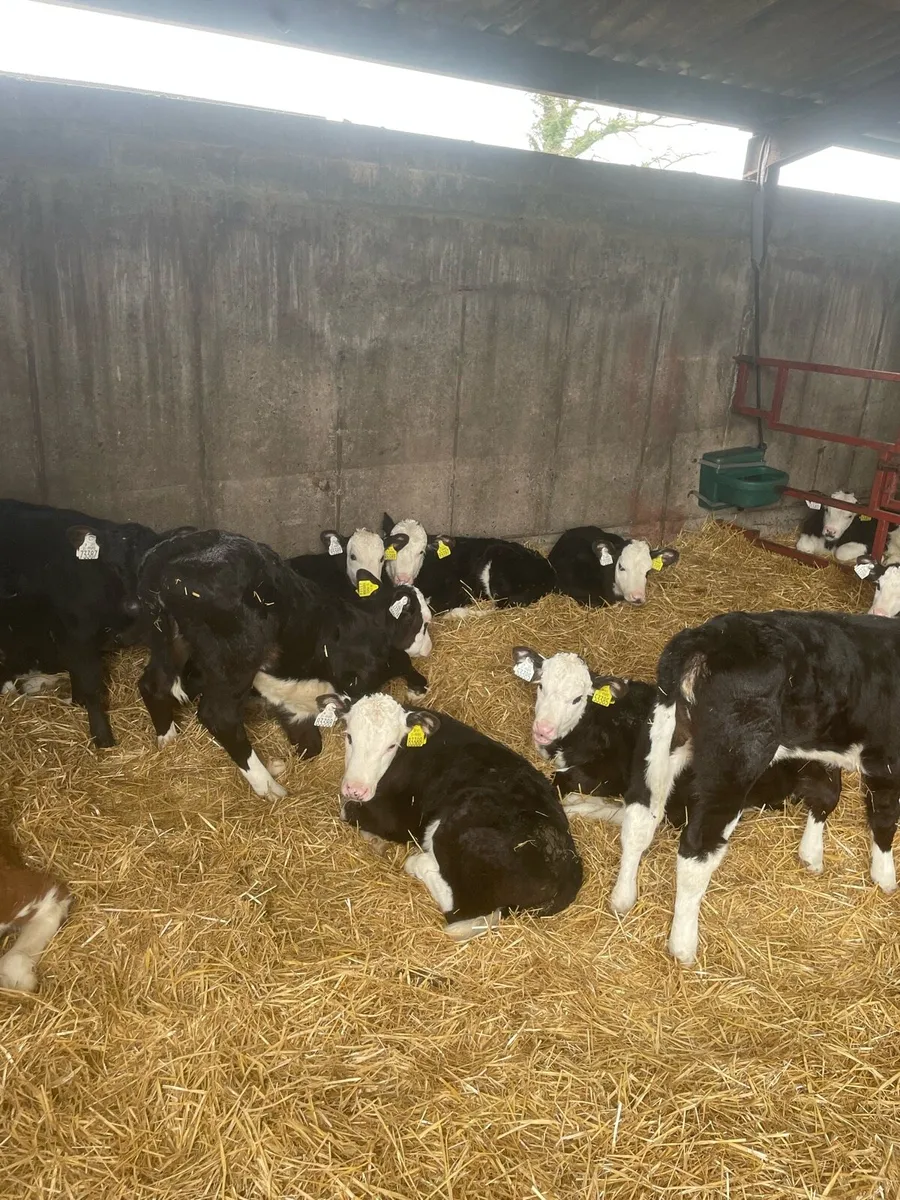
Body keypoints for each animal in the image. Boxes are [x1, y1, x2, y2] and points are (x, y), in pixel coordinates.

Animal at [0, 498, 189, 746]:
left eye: (145, 565)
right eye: (112, 565)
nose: (133, 605)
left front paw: (77, 701)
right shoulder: (77, 634)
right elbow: (91, 685)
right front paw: (102, 738)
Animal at [136, 529, 431, 798]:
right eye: (423, 622)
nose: (428, 647)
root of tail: (165, 559)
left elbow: (309, 745)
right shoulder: (360, 682)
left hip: (166, 640)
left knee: (153, 684)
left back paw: (168, 739)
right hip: (236, 660)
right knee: (219, 716)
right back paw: (268, 786)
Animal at [322, 691, 583, 940]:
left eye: (391, 746)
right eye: (349, 736)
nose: (355, 788)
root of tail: (570, 869)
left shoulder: (398, 819)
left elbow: (347, 810)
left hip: (462, 826)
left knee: (460, 911)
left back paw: (420, 862)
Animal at [607, 610, 900, 965]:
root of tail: (708, 639)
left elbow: (826, 792)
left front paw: (811, 853)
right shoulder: (886, 762)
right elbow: (884, 818)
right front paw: (884, 875)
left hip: (662, 737)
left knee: (640, 816)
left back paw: (623, 898)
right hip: (734, 763)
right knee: (696, 850)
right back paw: (683, 946)